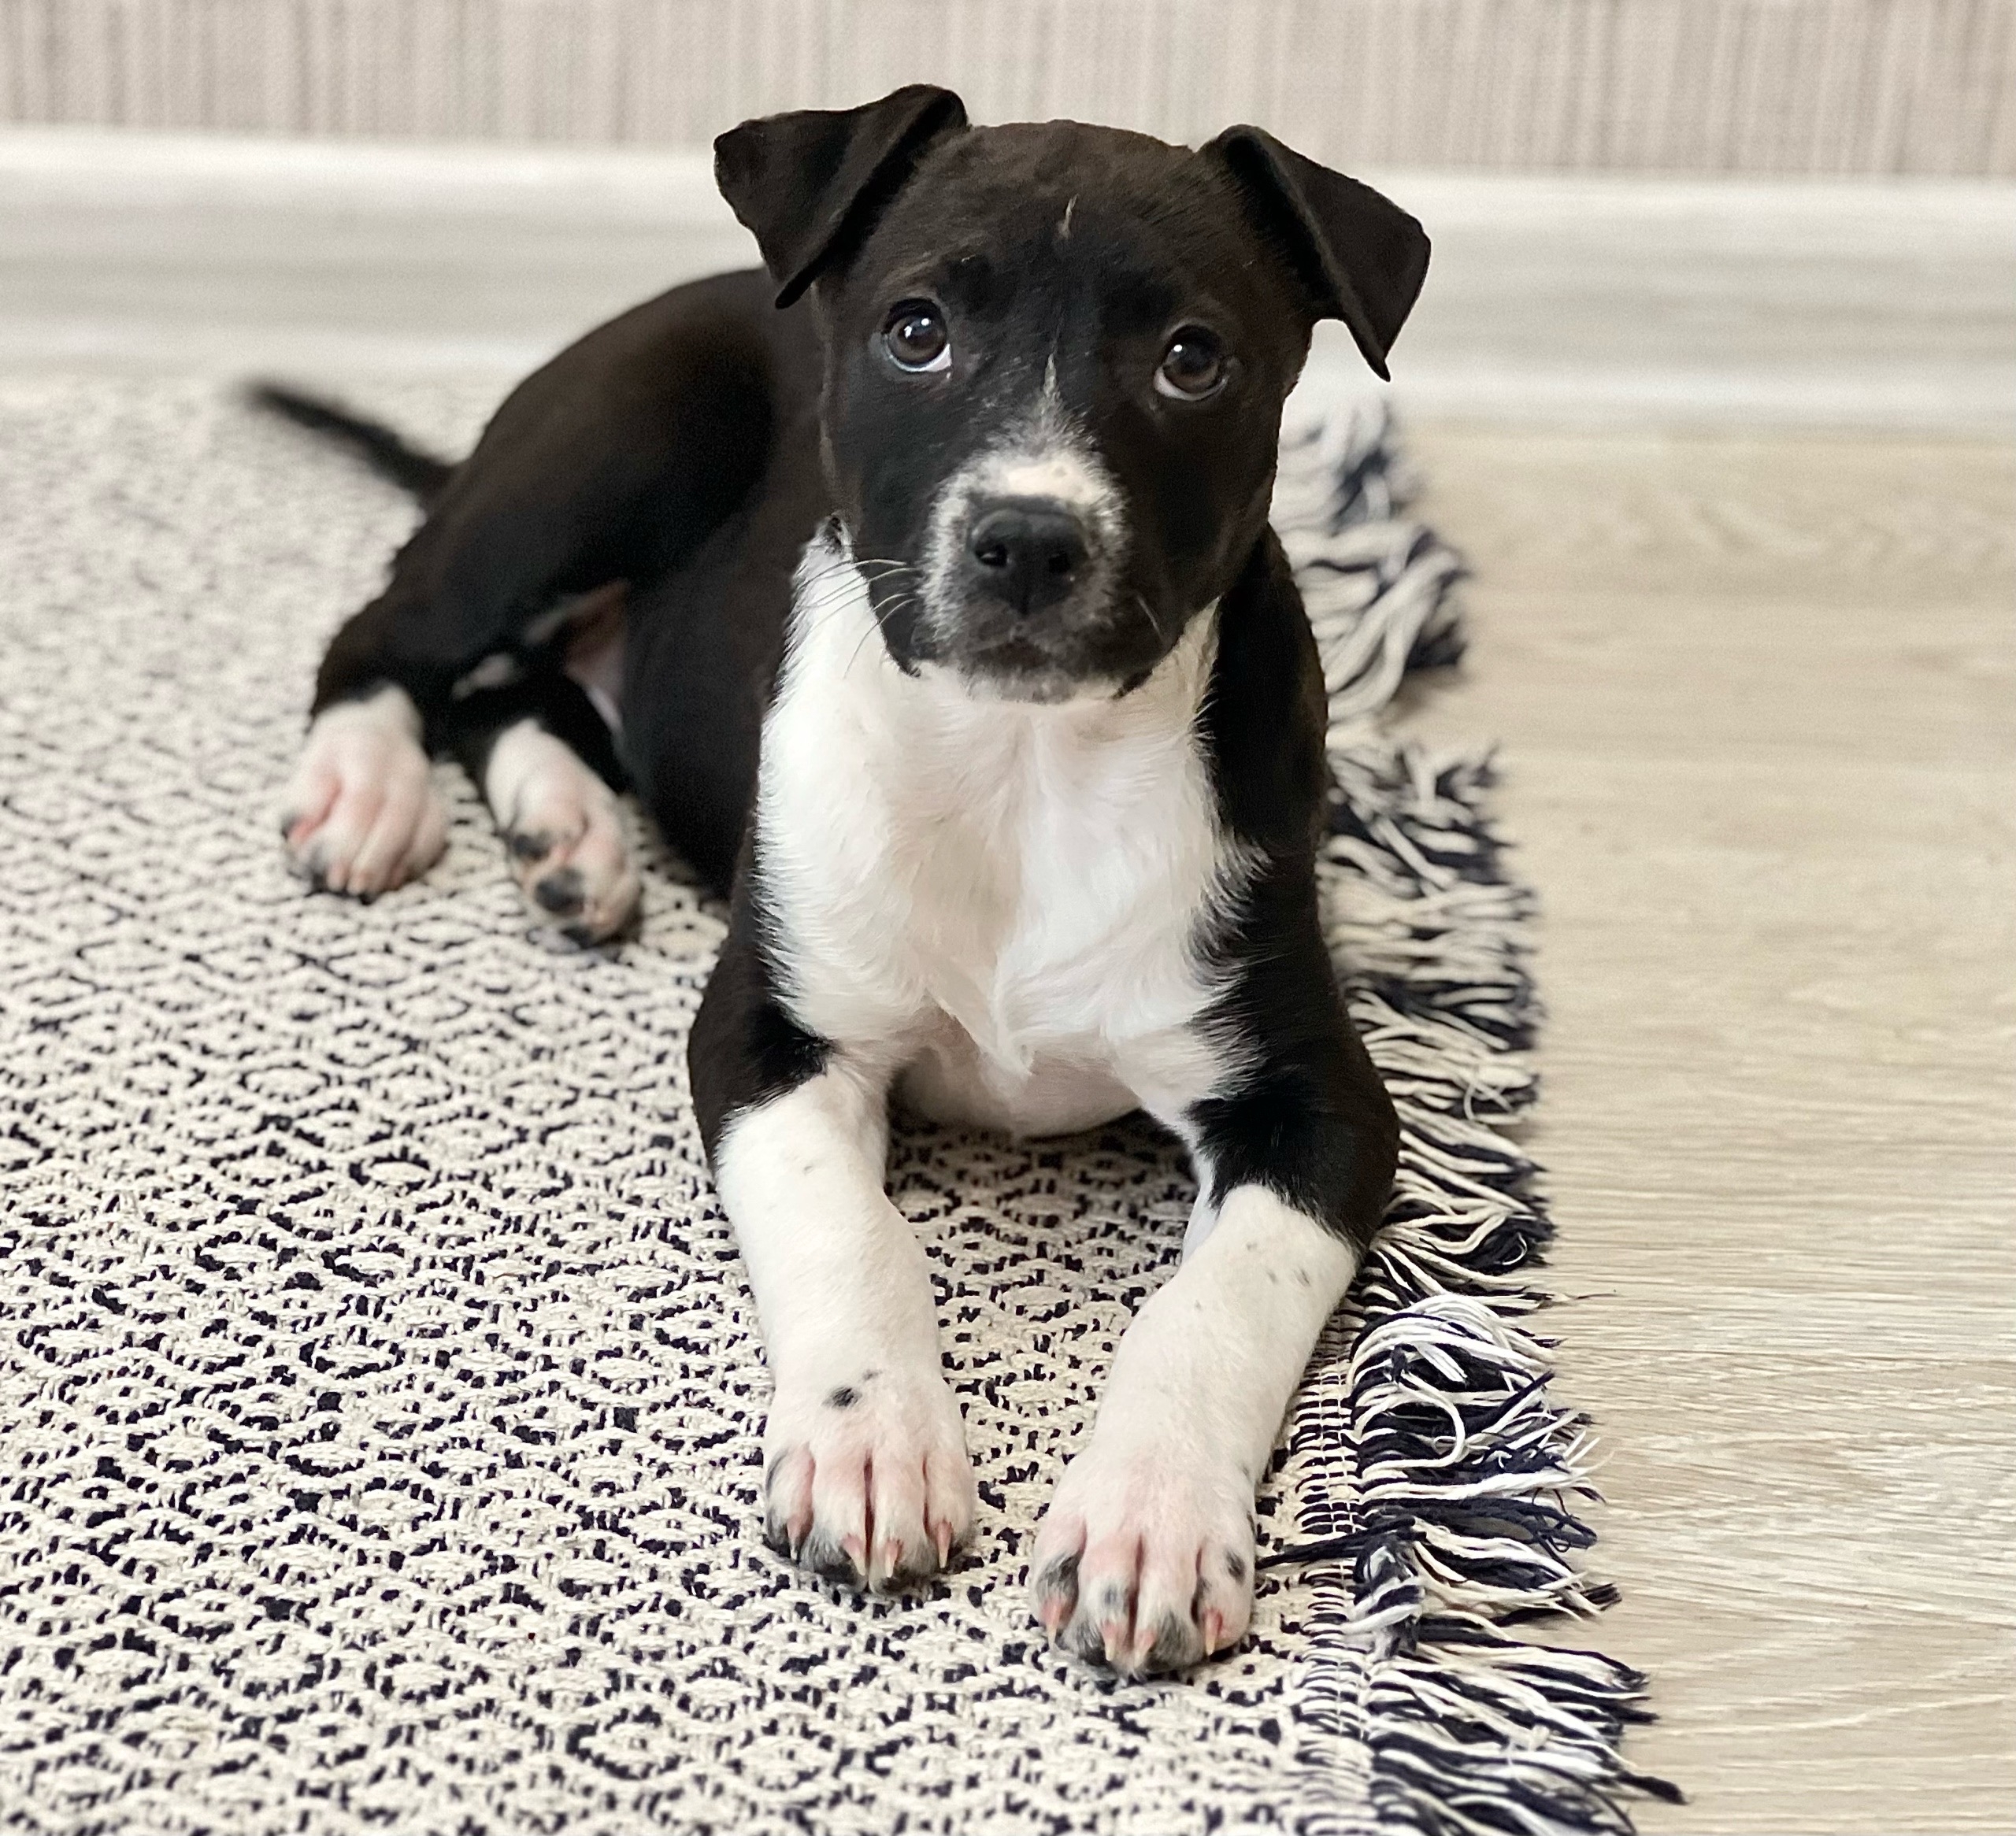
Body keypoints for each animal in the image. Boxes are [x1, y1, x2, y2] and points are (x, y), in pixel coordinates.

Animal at [269, 85, 1427, 1676]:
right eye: (916, 330)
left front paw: (1148, 1514)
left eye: (1193, 359)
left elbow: (1219, 1302)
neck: (1023, 767)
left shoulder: (1317, 1103)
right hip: (607, 452)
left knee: (514, 690)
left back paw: (568, 834)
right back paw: (365, 786)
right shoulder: (771, 1031)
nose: (1028, 540)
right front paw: (871, 1437)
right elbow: (850, 1231)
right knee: (392, 633)